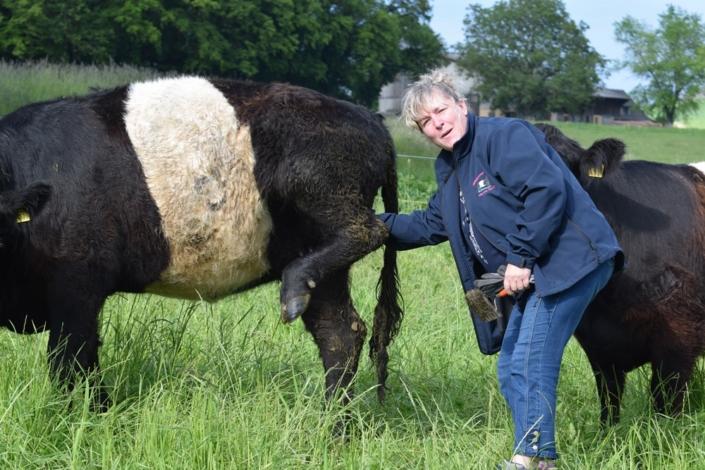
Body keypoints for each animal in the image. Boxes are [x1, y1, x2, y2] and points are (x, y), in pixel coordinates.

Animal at [0, 77, 402, 414]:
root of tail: (371, 117)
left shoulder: (79, 284)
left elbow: (71, 361)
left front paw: (91, 419)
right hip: (315, 254)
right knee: (340, 335)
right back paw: (333, 429)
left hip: (315, 186)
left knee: (371, 230)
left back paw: (295, 286)